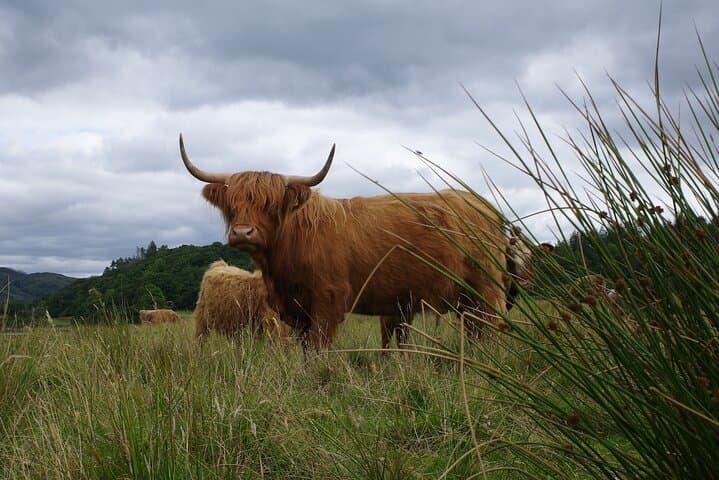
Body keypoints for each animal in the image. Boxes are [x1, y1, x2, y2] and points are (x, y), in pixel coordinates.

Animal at [179, 134, 508, 351]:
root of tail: (484, 206)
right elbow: (306, 351)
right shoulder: (297, 310)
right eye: (232, 204)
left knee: (490, 329)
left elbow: (320, 349)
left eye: (271, 204)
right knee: (475, 331)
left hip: (485, 290)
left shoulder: (327, 301)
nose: (243, 232)